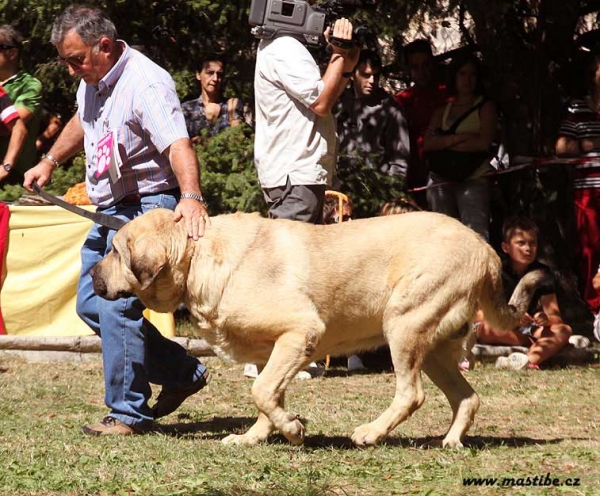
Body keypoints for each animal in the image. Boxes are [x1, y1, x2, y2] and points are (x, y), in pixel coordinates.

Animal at [91, 207, 548, 448]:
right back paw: (451, 441)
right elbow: (267, 396)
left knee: (412, 393)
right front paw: (258, 436)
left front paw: (292, 429)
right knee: (467, 397)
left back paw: (370, 433)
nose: (93, 273)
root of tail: (485, 249)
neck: (197, 255)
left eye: (114, 252)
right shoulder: (274, 350)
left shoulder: (301, 331)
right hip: (433, 346)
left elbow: (262, 392)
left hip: (404, 324)